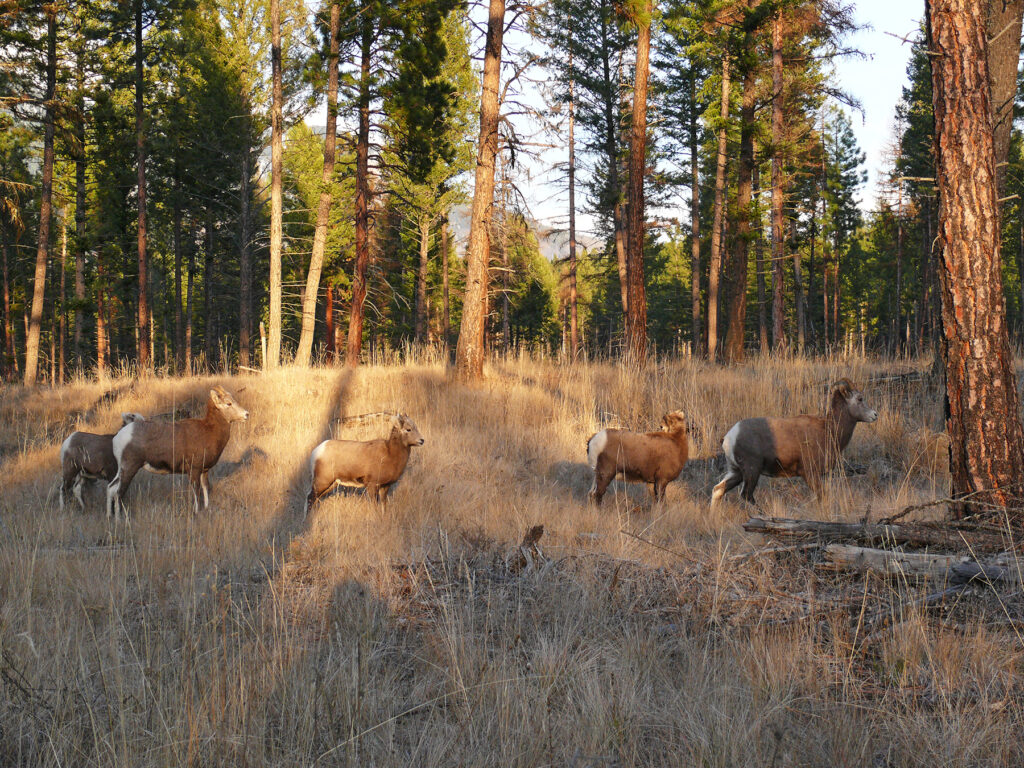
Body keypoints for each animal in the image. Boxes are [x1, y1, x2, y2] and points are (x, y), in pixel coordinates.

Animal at [106, 386, 249, 518]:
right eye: (228, 403)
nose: (246, 414)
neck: (209, 431)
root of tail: (121, 433)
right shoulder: (194, 471)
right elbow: (196, 491)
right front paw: (196, 512)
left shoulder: (204, 470)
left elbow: (205, 488)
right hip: (129, 468)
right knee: (118, 493)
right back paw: (119, 519)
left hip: (122, 470)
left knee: (110, 488)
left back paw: (109, 517)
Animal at [710, 378, 878, 508]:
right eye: (860, 399)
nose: (875, 415)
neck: (829, 430)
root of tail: (729, 438)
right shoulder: (810, 474)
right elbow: (822, 496)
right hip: (752, 471)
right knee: (746, 495)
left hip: (736, 472)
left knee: (718, 490)